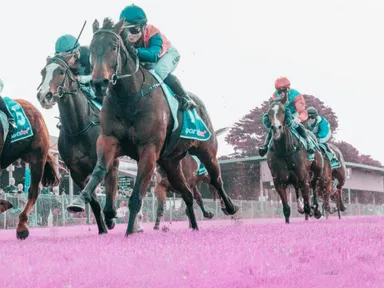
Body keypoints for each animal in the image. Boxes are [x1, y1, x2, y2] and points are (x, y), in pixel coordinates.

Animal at [37, 55, 120, 235]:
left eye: (61, 71)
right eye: (42, 72)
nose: (44, 95)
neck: (79, 129)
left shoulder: (106, 162)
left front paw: (110, 218)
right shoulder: (76, 172)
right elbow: (93, 200)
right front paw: (102, 228)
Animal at [67, 18, 238, 235]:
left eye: (113, 46)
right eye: (91, 48)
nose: (99, 83)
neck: (129, 96)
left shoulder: (148, 149)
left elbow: (136, 195)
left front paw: (129, 232)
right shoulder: (109, 140)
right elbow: (100, 170)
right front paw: (81, 201)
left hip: (206, 150)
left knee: (216, 179)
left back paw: (230, 207)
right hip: (170, 162)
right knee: (187, 193)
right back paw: (194, 226)